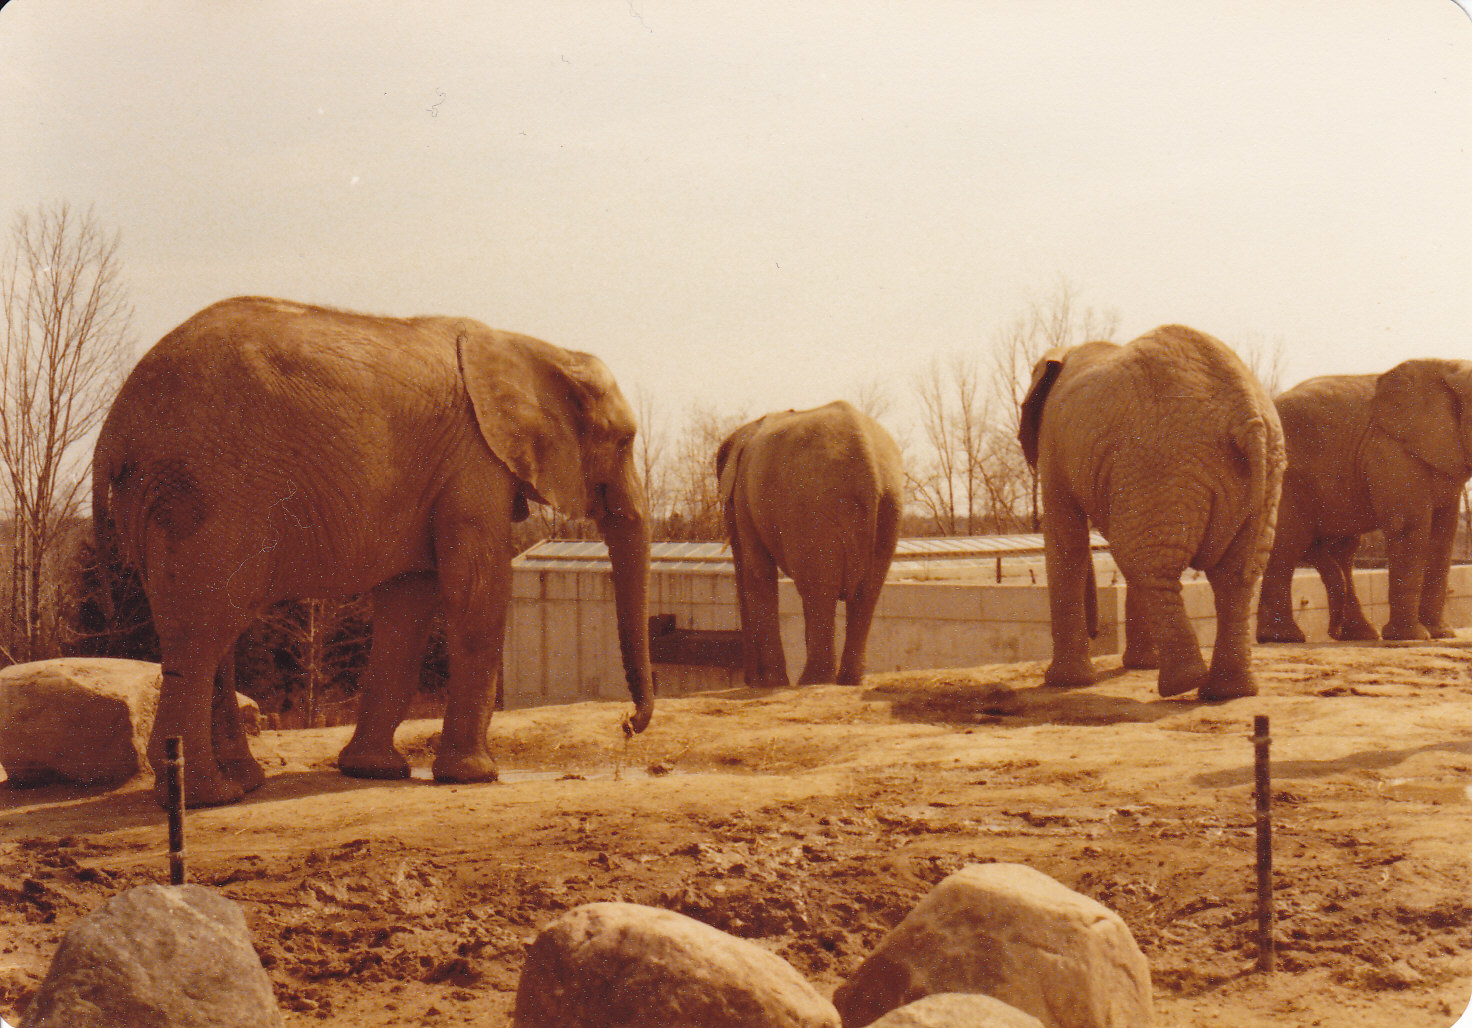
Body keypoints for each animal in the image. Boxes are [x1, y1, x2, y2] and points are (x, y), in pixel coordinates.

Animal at [92, 296, 654, 807]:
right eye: (626, 441)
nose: (629, 723)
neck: (535, 348)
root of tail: (113, 429)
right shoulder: (475, 461)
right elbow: (475, 591)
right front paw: (475, 777)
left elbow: (409, 601)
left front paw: (373, 771)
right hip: (207, 490)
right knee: (203, 633)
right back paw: (210, 796)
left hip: (168, 498)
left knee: (210, 631)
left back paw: (242, 783)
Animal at [715, 401, 905, 688]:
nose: (749, 680)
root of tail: (869, 464)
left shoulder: (745, 497)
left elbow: (759, 572)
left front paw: (772, 683)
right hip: (888, 504)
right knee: (865, 592)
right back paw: (848, 680)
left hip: (812, 507)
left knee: (818, 590)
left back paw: (812, 680)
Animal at [1019, 325, 1286, 700]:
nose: (1096, 631)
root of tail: (1247, 415)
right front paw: (1136, 667)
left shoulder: (1054, 444)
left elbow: (1066, 538)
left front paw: (1063, 683)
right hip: (1250, 476)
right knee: (1232, 576)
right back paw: (1226, 692)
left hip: (1161, 463)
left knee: (1145, 562)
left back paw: (1184, 685)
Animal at [1256, 358, 1472, 643]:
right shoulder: (1391, 451)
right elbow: (1407, 527)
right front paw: (1411, 637)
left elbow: (1443, 537)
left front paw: (1441, 634)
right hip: (1285, 477)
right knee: (1290, 541)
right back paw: (1284, 637)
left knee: (1341, 549)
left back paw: (1357, 634)